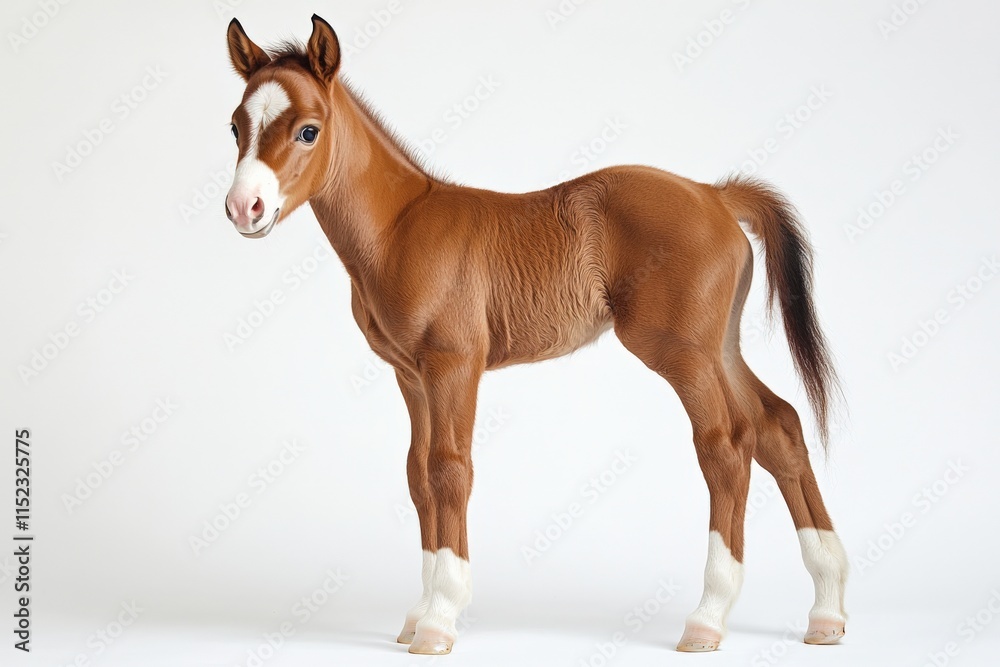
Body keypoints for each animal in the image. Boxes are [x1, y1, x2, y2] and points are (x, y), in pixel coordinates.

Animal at [222, 14, 848, 656]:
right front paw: (417, 615)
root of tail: (716, 194)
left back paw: (708, 617)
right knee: (778, 425)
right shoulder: (409, 374)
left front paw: (441, 619)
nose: (245, 208)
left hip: (682, 353)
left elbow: (450, 469)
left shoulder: (454, 364)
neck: (400, 228)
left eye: (308, 130)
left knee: (725, 445)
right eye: (235, 126)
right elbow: (418, 473)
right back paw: (826, 610)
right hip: (721, 347)